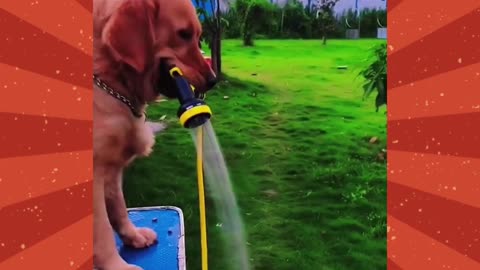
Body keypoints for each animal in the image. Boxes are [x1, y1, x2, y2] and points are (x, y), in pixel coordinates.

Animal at [92, 1, 216, 268]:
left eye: (198, 36)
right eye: (183, 34)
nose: (213, 81)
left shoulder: (111, 169)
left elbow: (118, 207)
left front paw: (133, 236)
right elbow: (103, 229)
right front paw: (116, 265)